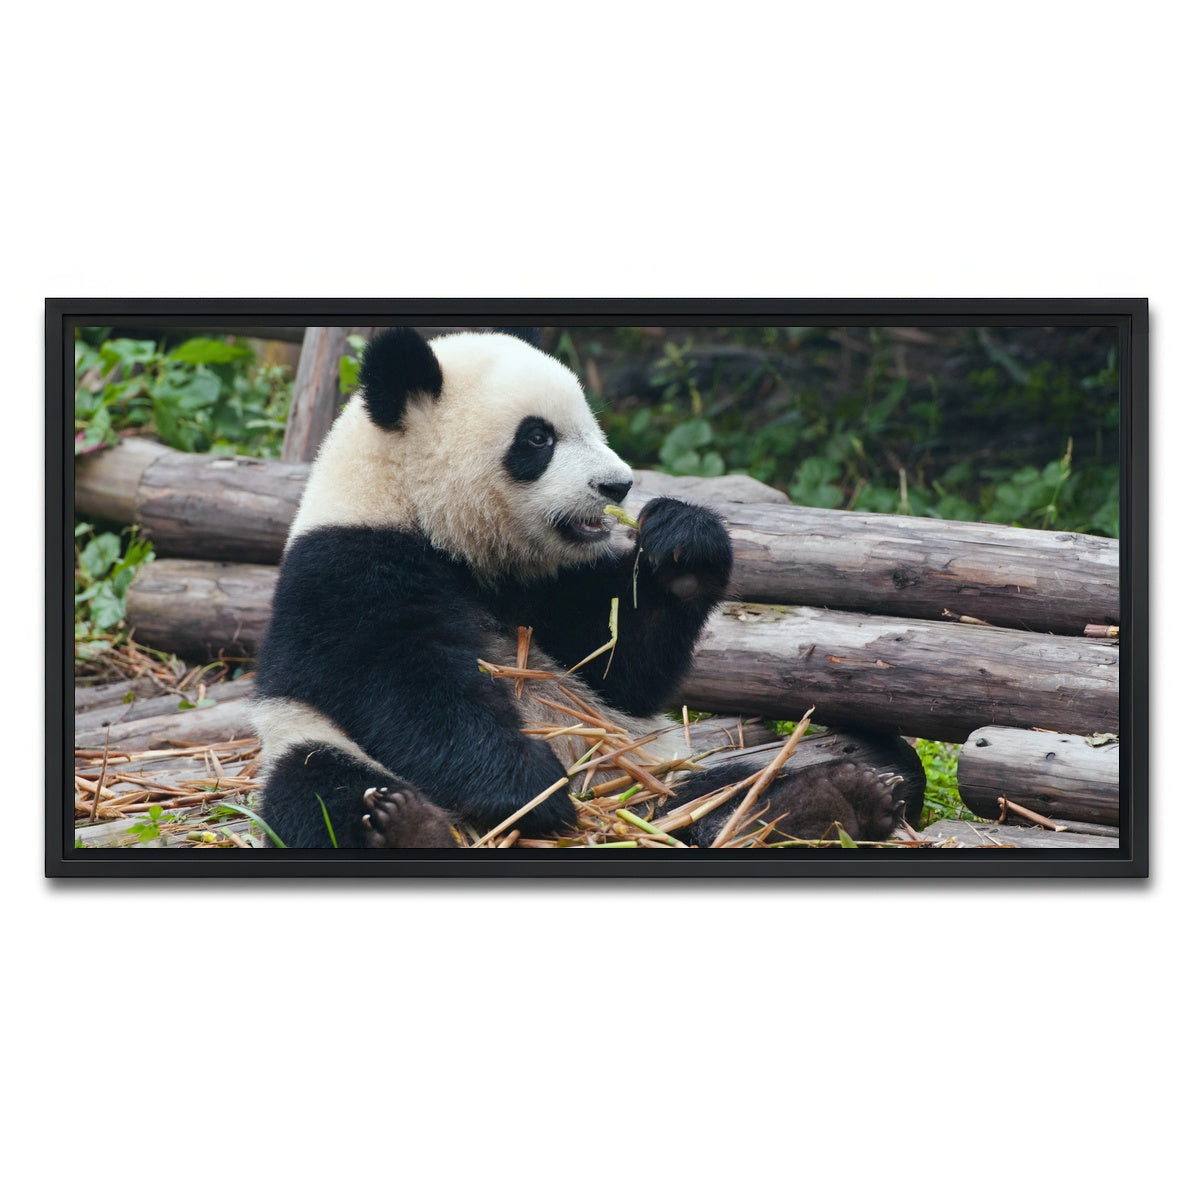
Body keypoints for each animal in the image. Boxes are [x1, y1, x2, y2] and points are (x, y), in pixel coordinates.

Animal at [252, 326, 912, 850]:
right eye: (538, 438)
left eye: (590, 424)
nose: (617, 486)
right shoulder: (346, 568)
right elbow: (407, 685)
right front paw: (531, 789)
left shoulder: (545, 584)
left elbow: (619, 665)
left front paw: (684, 546)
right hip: (303, 739)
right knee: (321, 787)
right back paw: (405, 825)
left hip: (647, 768)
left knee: (726, 787)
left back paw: (825, 801)